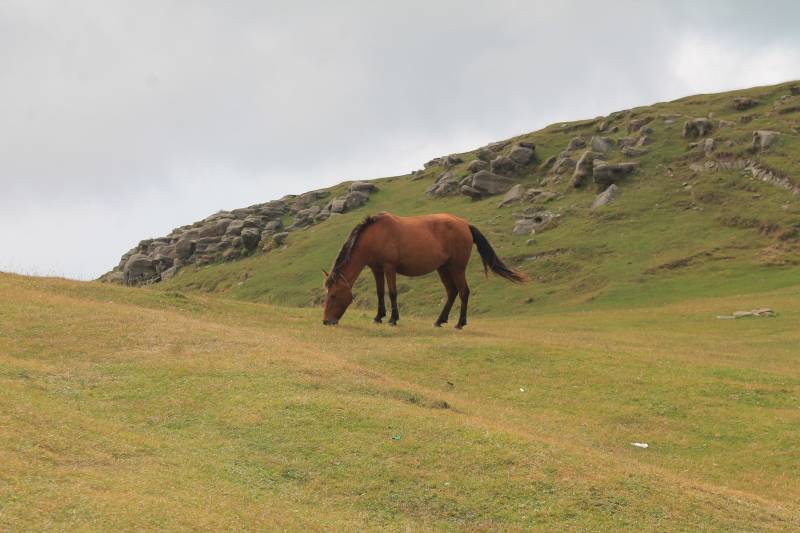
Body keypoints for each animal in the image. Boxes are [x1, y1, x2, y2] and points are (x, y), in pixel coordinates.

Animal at [322, 212, 526, 328]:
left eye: (333, 295)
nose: (326, 321)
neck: (375, 236)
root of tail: (465, 225)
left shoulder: (389, 267)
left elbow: (392, 292)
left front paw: (393, 319)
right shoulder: (376, 269)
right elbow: (380, 293)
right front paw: (378, 317)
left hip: (457, 268)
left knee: (463, 292)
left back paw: (460, 323)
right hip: (443, 268)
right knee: (452, 292)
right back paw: (439, 320)